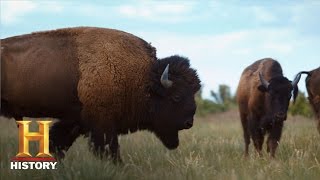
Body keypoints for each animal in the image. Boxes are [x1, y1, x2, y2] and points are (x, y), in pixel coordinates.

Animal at [0, 26, 200, 162]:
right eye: (176, 96)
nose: (189, 123)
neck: (143, 79)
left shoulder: (77, 120)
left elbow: (57, 142)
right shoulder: (102, 123)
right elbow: (109, 150)